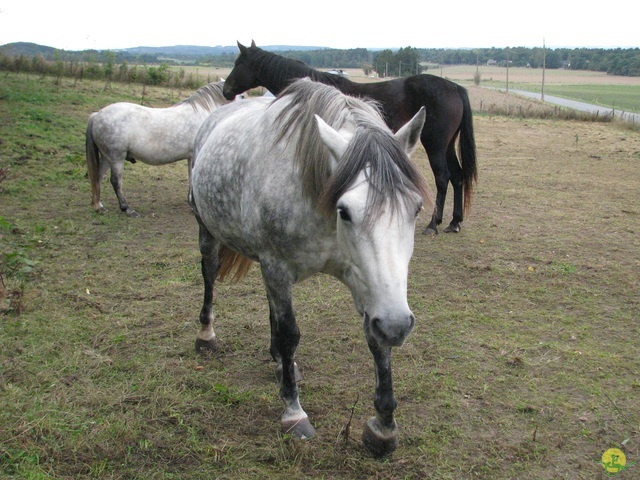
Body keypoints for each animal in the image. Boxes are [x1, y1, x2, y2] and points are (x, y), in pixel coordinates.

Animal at [86, 83, 232, 218]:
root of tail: (97, 115)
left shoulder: (190, 157)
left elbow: (190, 178)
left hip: (107, 158)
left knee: (98, 177)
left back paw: (99, 206)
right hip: (116, 158)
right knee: (115, 181)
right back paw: (127, 209)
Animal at [190, 79, 430, 458]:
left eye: (416, 209)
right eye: (345, 210)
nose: (398, 325)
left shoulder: (367, 281)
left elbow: (375, 341)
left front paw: (383, 426)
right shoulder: (277, 266)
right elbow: (290, 334)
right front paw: (293, 412)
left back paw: (279, 362)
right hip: (209, 232)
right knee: (210, 273)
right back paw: (207, 335)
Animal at [222, 41, 478, 236]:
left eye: (238, 63)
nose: (226, 90)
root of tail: (455, 87)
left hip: (435, 145)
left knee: (443, 178)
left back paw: (433, 224)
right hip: (447, 146)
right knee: (458, 177)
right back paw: (454, 222)